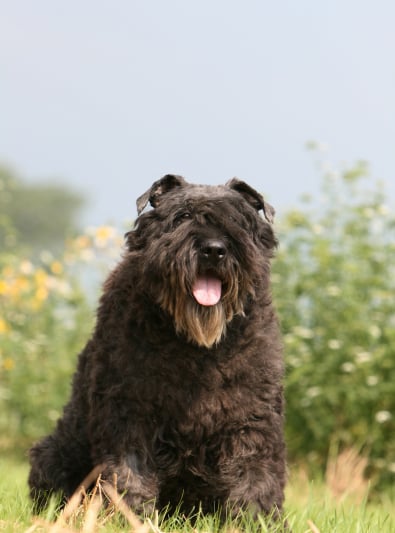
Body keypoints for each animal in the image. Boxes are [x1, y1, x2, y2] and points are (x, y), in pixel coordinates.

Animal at [28, 175, 288, 520]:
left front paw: (256, 519)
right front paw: (130, 517)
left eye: (237, 219)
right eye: (182, 216)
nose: (214, 250)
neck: (196, 346)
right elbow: (129, 472)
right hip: (57, 451)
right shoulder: (130, 410)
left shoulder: (250, 413)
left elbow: (254, 469)